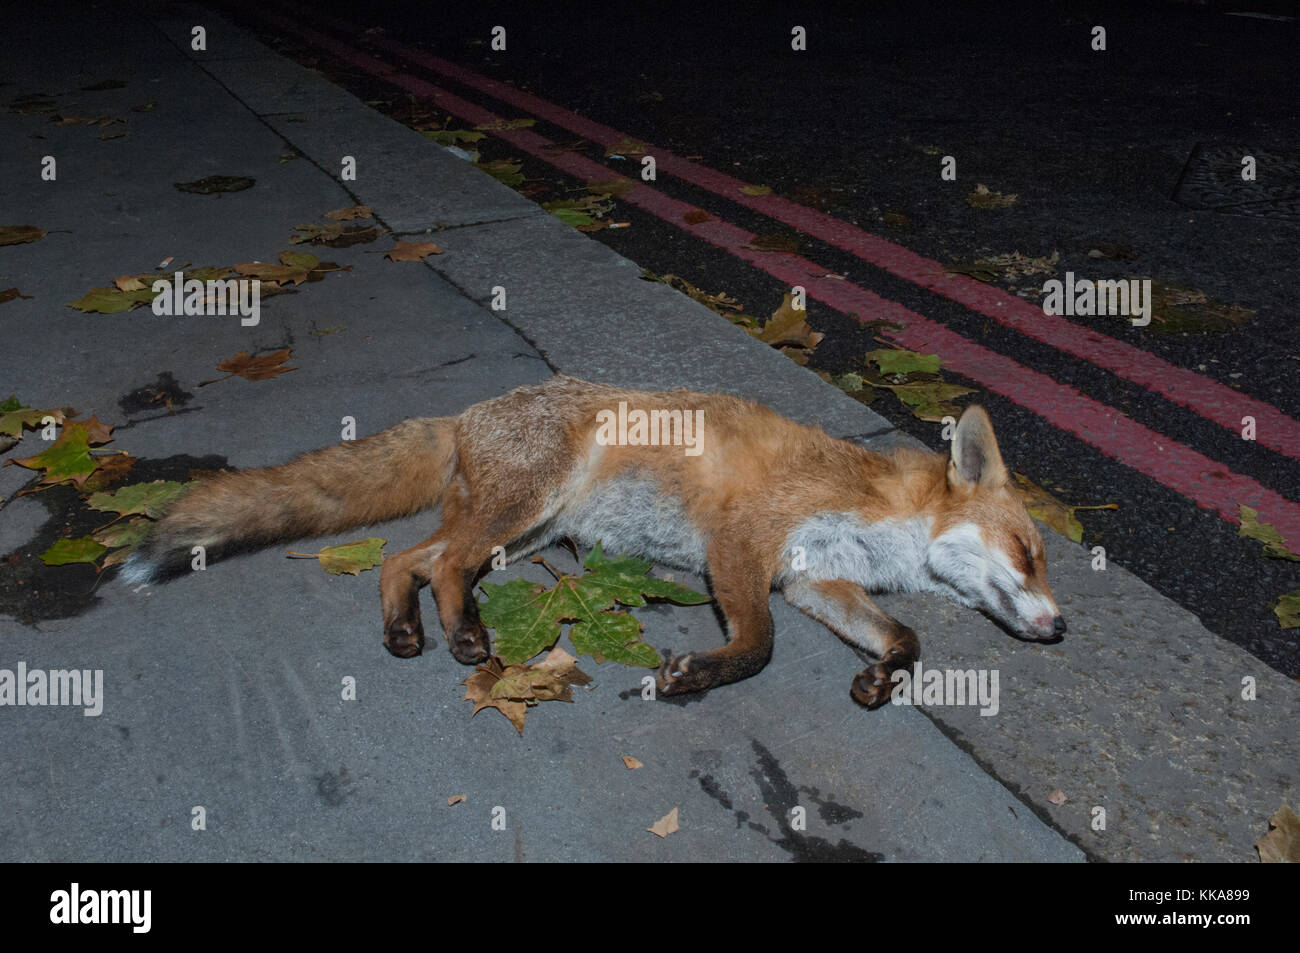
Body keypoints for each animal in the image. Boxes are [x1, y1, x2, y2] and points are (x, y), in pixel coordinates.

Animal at [124, 375, 1065, 708]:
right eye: (1028, 552)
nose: (1059, 628)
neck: (875, 509)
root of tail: (467, 413)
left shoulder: (811, 579)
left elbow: (904, 637)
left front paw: (881, 677)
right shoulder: (741, 544)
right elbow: (758, 646)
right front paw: (695, 676)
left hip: (524, 528)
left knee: (406, 559)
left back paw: (412, 627)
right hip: (527, 508)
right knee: (442, 563)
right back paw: (465, 633)